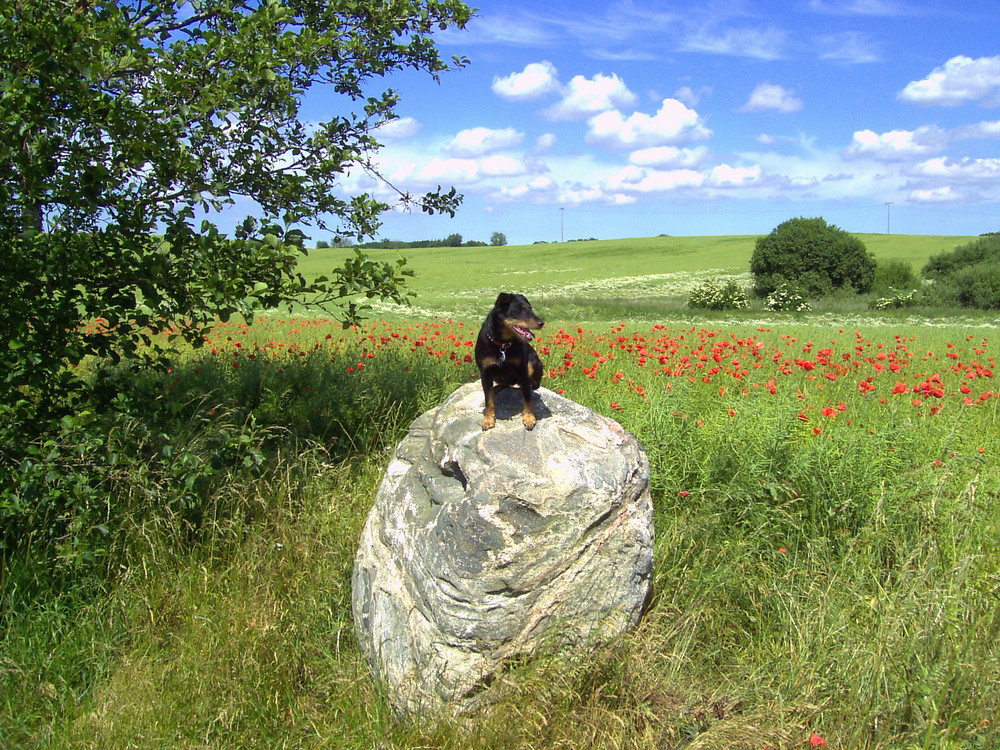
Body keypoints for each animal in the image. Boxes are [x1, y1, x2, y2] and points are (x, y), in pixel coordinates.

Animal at [472, 294, 544, 434]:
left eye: (530, 308)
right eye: (519, 309)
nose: (541, 323)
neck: (502, 343)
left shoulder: (522, 370)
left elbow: (527, 398)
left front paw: (529, 417)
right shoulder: (485, 372)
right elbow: (489, 401)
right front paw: (488, 419)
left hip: (534, 362)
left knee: (534, 384)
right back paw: (496, 388)